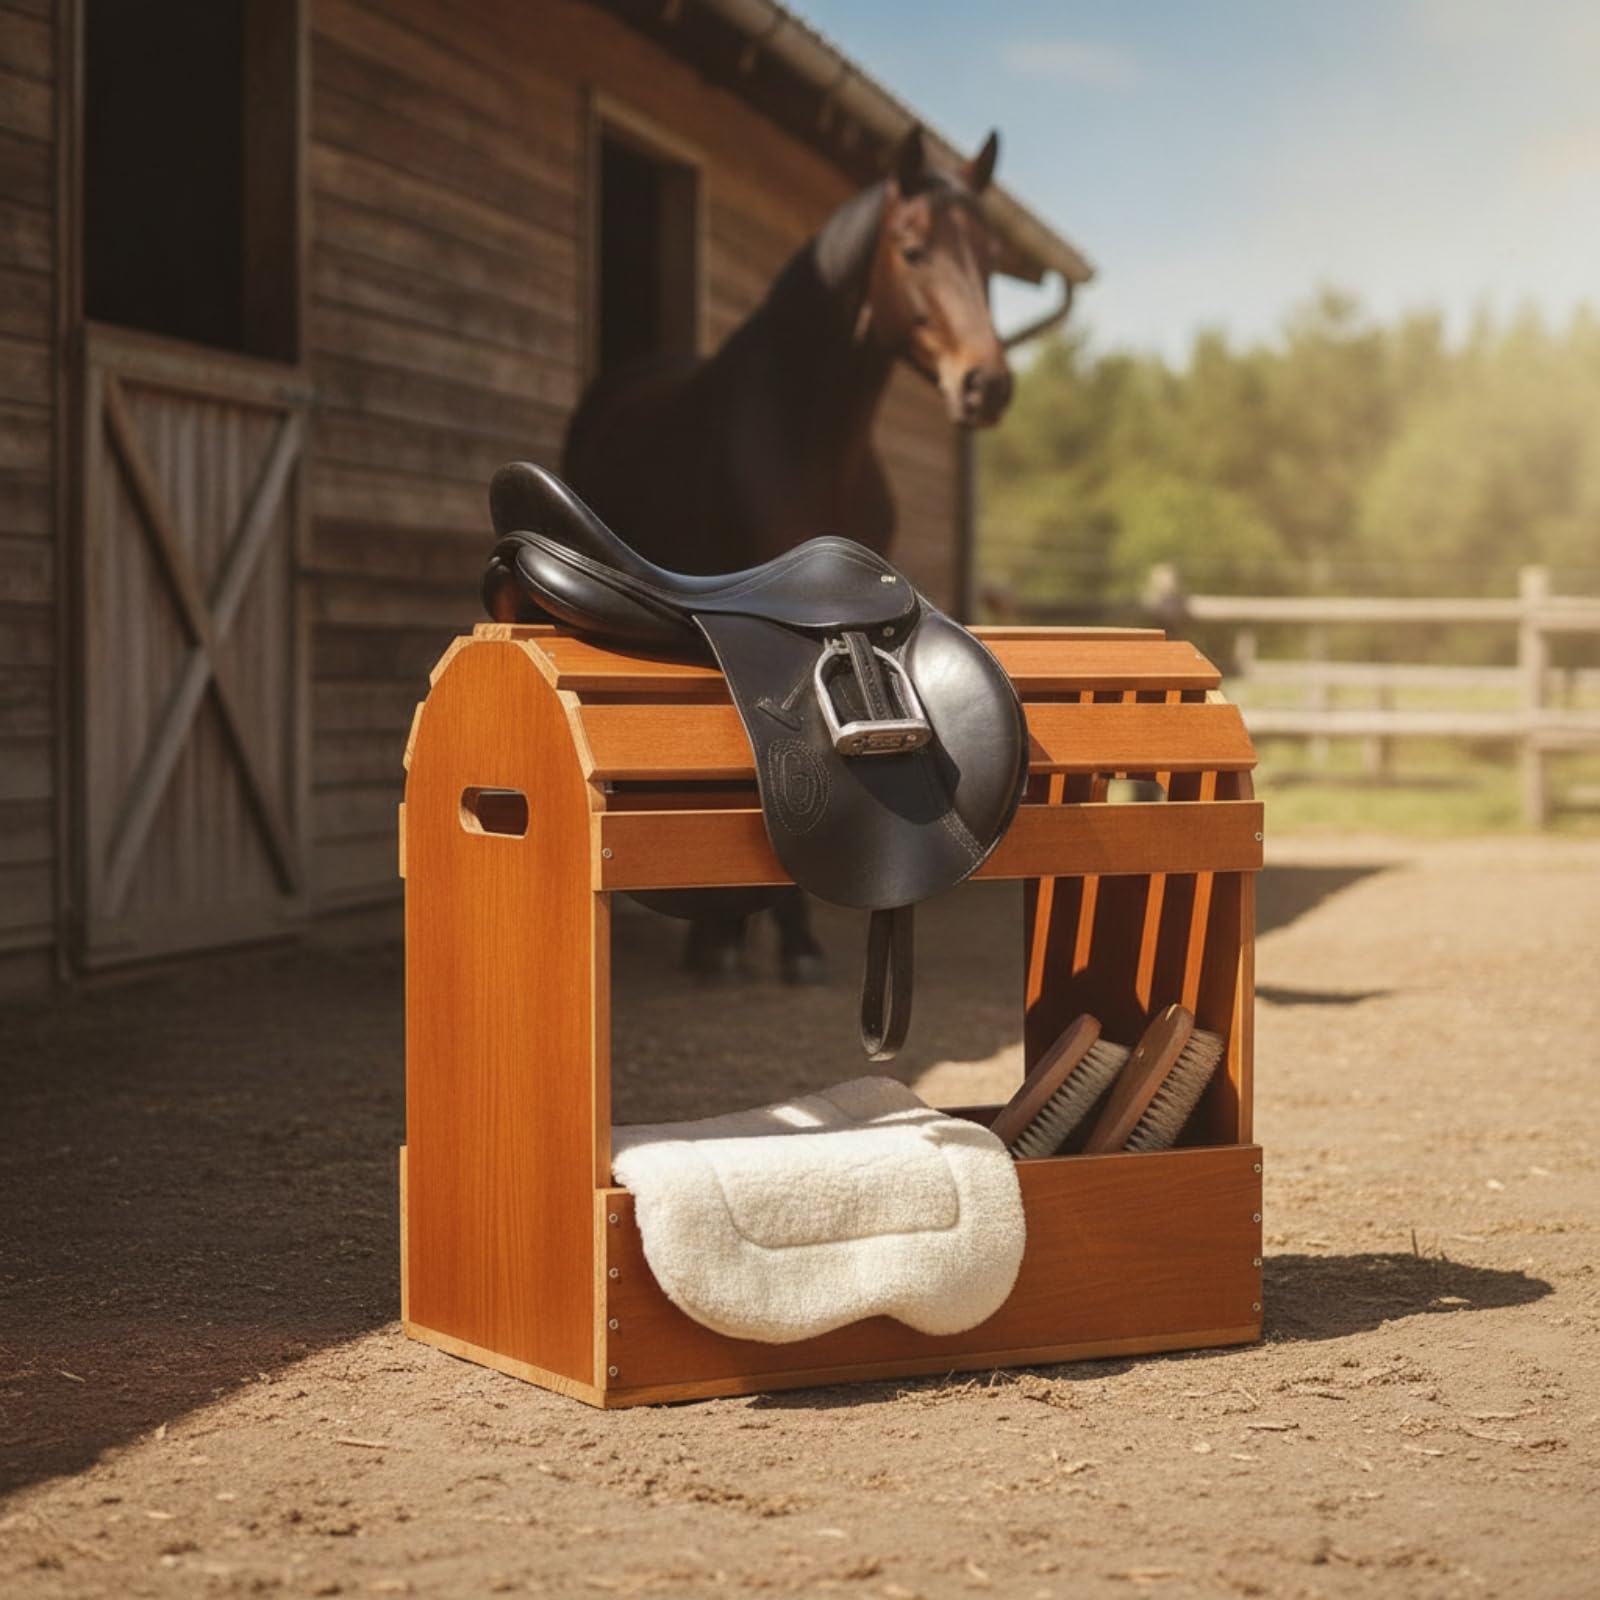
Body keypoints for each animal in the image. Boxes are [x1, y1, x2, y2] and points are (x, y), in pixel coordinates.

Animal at [560, 125, 1014, 980]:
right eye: (912, 250)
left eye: (989, 259)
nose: (987, 385)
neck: (812, 437)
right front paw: (740, 940)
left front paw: (791, 941)